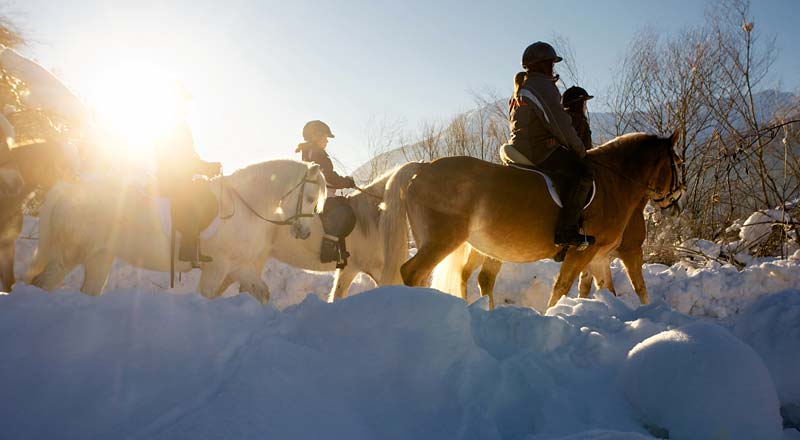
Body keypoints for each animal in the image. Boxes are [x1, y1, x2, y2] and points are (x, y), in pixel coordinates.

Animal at [25, 160, 324, 304]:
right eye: (310, 197)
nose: (304, 232)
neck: (245, 205)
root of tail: (70, 187)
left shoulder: (241, 267)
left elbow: (262, 293)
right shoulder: (217, 267)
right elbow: (207, 297)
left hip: (99, 257)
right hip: (69, 254)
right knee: (42, 284)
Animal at [390, 134, 684, 310]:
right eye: (677, 163)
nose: (676, 202)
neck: (613, 184)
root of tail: (423, 167)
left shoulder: (599, 255)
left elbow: (605, 288)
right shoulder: (593, 251)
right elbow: (563, 287)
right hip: (442, 241)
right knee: (412, 272)